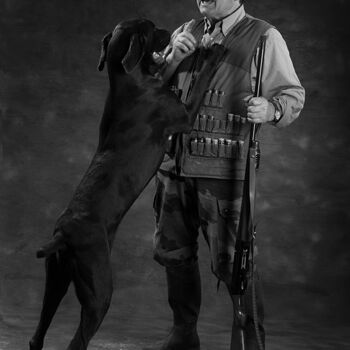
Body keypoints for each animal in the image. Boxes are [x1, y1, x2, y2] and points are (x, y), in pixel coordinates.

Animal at [29, 19, 224, 350]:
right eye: (152, 28)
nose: (168, 30)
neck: (128, 79)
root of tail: (62, 235)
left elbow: (168, 69)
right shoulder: (183, 114)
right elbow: (199, 84)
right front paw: (212, 53)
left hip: (55, 282)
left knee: (37, 336)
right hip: (99, 294)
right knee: (77, 341)